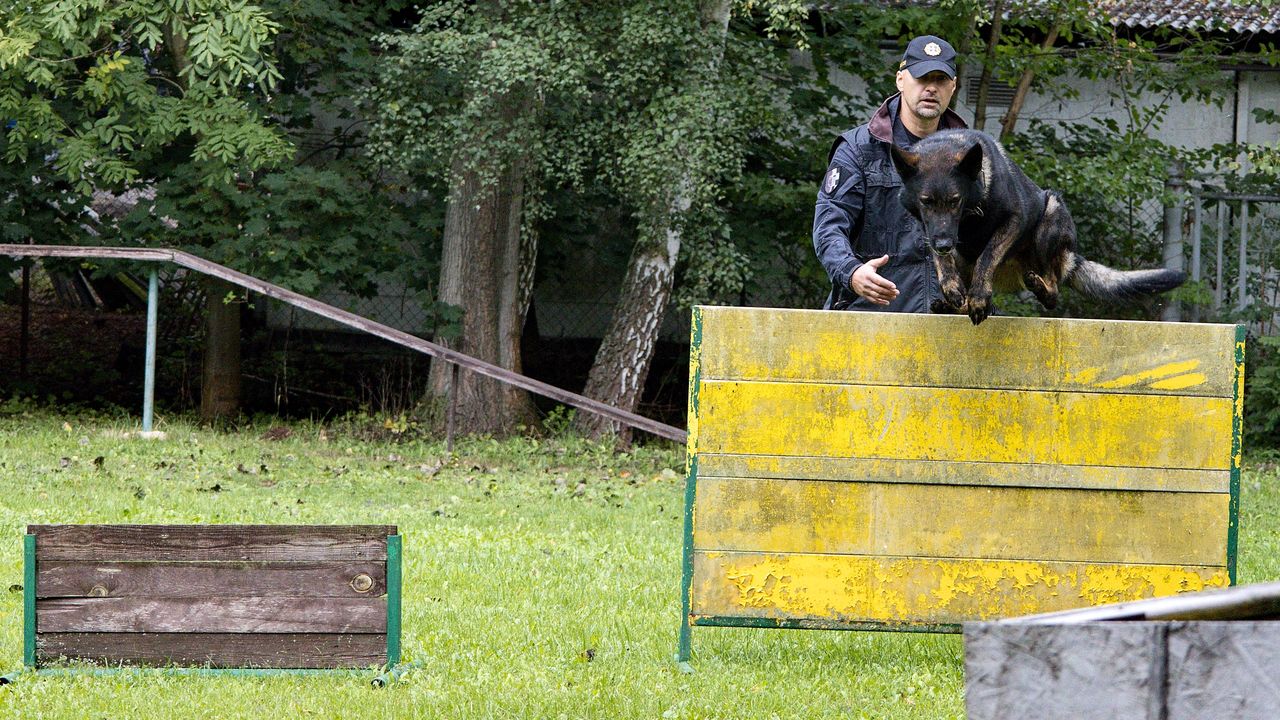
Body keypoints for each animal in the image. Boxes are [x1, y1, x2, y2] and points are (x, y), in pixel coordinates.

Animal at [890, 128, 1177, 325]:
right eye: (926, 202)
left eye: (955, 201)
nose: (943, 244)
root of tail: (1070, 257)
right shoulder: (931, 228)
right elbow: (943, 262)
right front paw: (951, 286)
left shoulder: (1015, 220)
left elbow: (987, 256)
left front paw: (980, 295)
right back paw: (952, 304)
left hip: (1049, 218)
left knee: (1053, 291)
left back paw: (1037, 285)